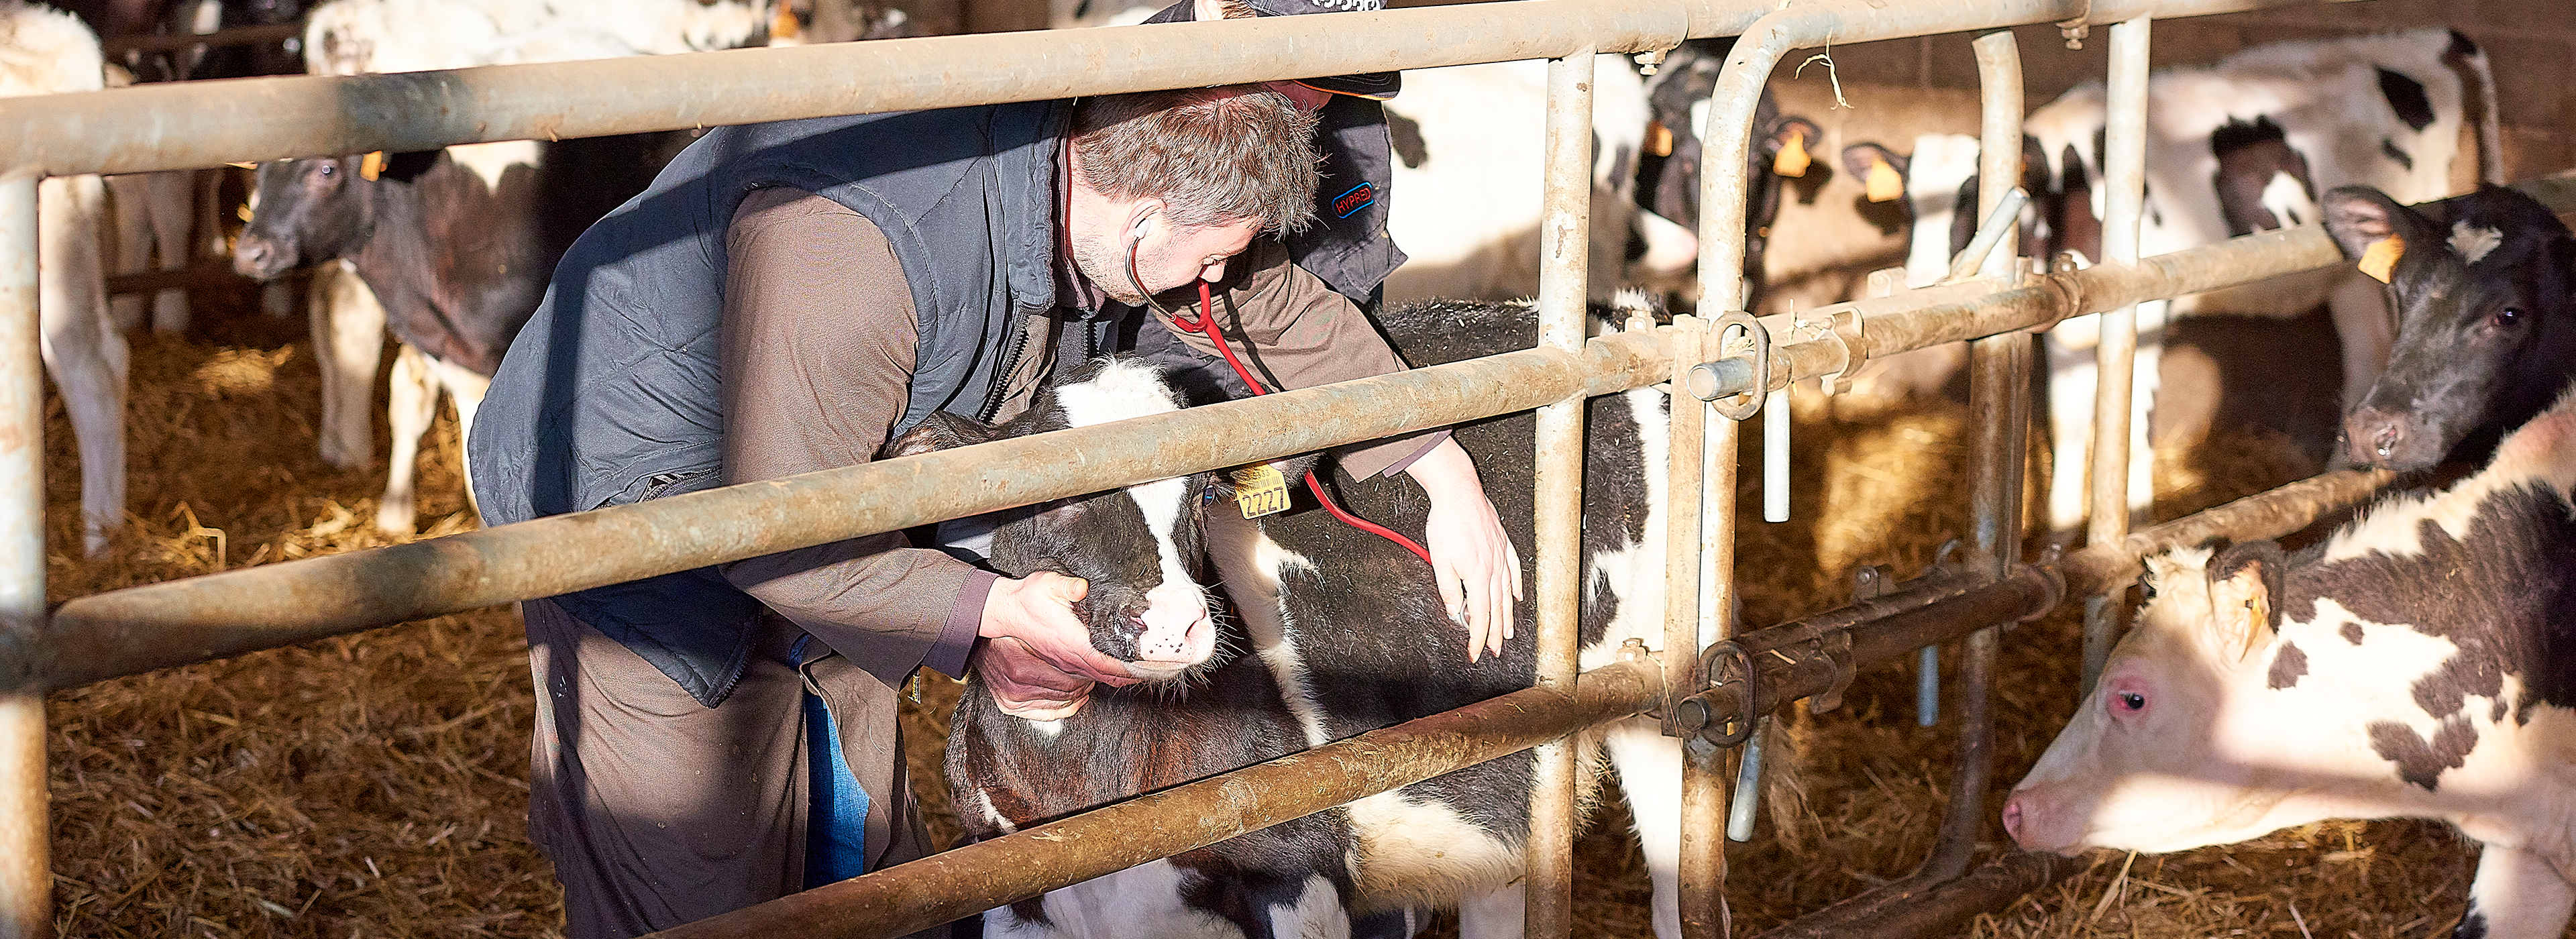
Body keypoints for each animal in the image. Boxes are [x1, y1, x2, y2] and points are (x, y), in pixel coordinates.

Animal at [1844, 27, 2504, 535]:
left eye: (1973, 202)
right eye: (1907, 204)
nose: (1923, 279)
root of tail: (2419, 38)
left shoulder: (2143, 309)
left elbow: (2131, 429)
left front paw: (2126, 531)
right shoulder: (2064, 327)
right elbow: (2070, 427)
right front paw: (2055, 539)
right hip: (2348, 280)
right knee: (2365, 355)